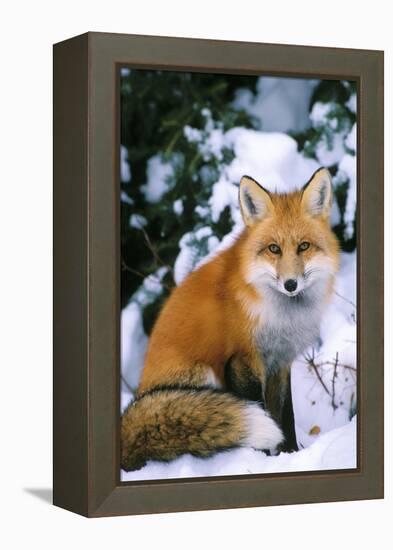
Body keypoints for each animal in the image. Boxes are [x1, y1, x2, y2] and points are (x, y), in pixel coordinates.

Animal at [121, 167, 338, 470]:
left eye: (304, 246)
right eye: (274, 249)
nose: (290, 284)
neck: (280, 316)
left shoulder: (279, 363)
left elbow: (286, 417)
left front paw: (291, 455)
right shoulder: (242, 360)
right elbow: (261, 409)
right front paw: (260, 461)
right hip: (203, 376)